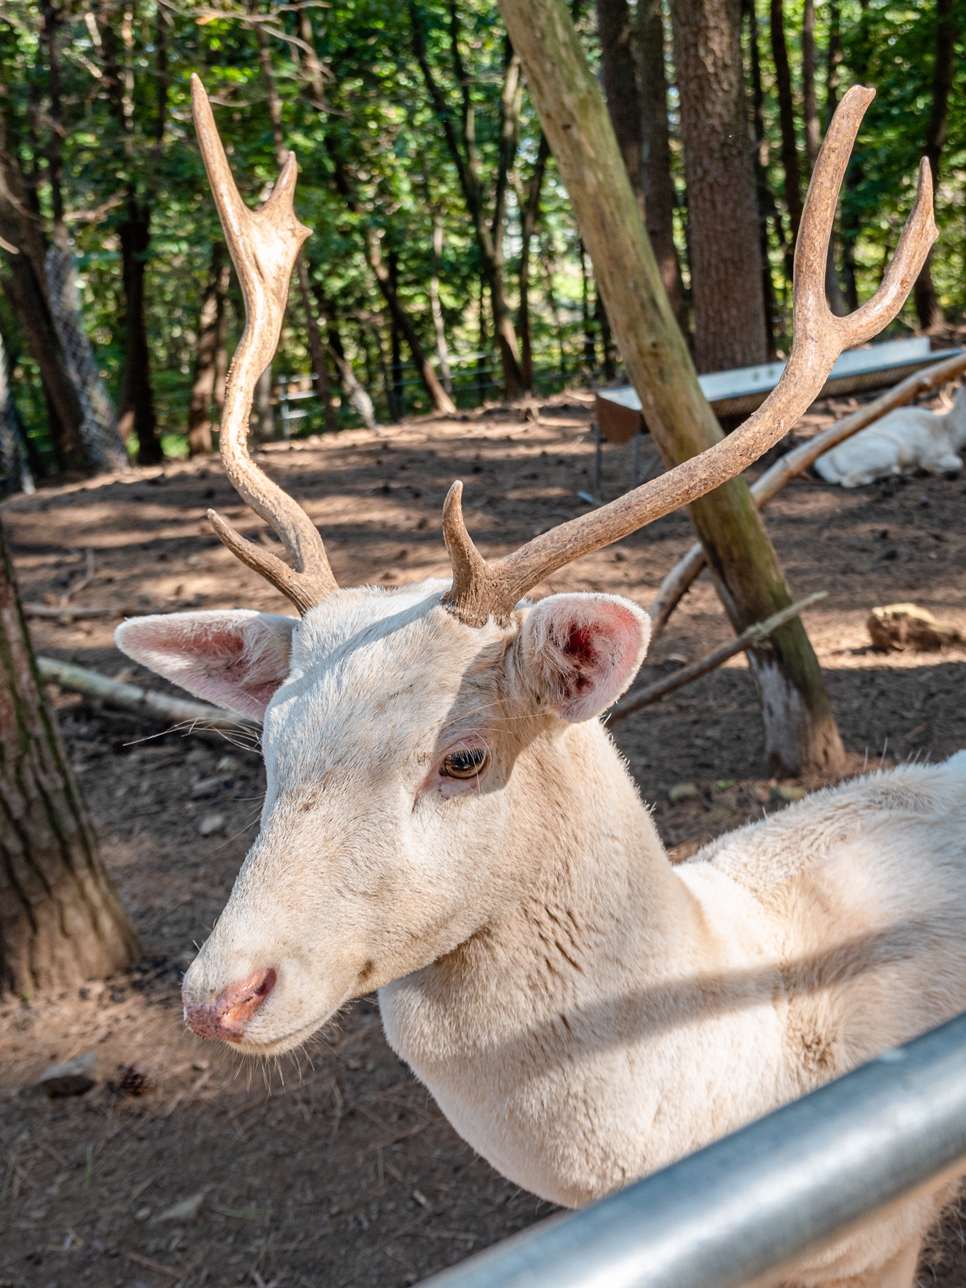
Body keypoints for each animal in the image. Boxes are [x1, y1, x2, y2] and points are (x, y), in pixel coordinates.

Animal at [819, 381, 966, 486]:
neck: (948, 431)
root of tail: (825, 459)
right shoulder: (932, 454)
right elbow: (957, 462)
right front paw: (932, 469)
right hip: (885, 452)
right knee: (849, 480)